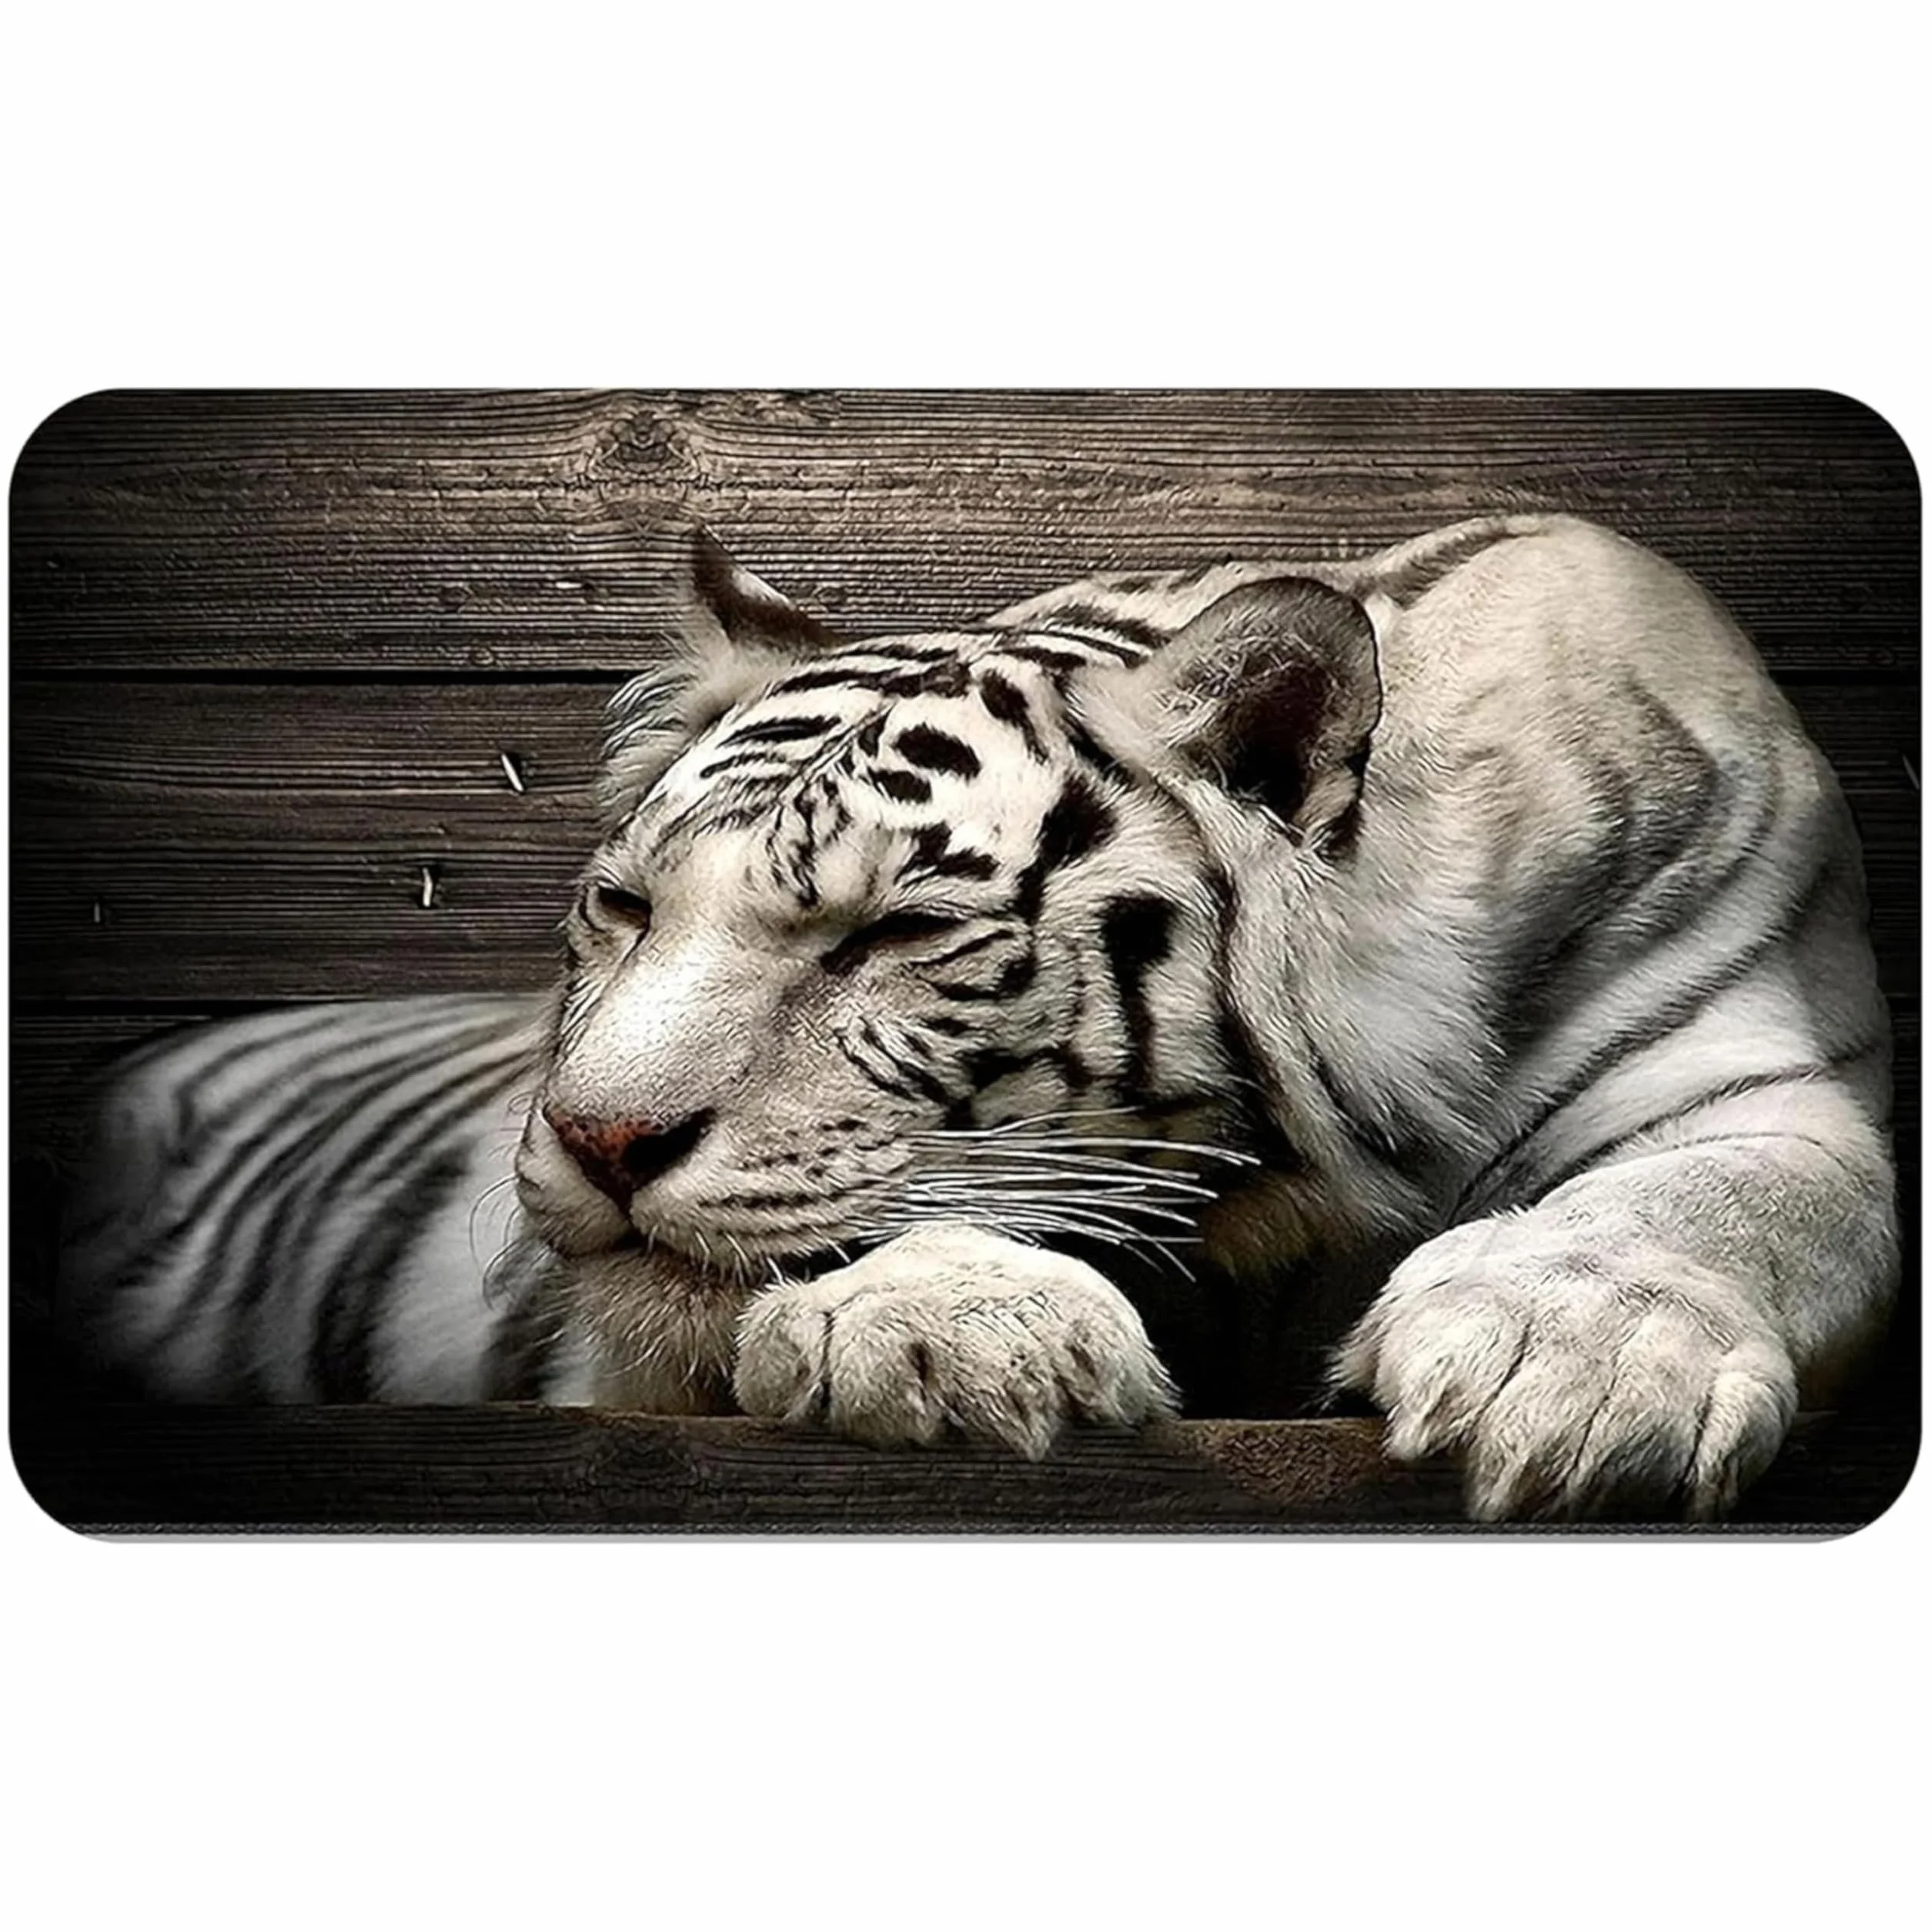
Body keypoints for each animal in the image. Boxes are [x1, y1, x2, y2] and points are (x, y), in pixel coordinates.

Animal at [58, 512, 1899, 1521]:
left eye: (895, 933)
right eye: (629, 909)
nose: (595, 1139)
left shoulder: (1763, 1070)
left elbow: (1723, 1196)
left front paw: (1572, 1368)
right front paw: (945, 1328)